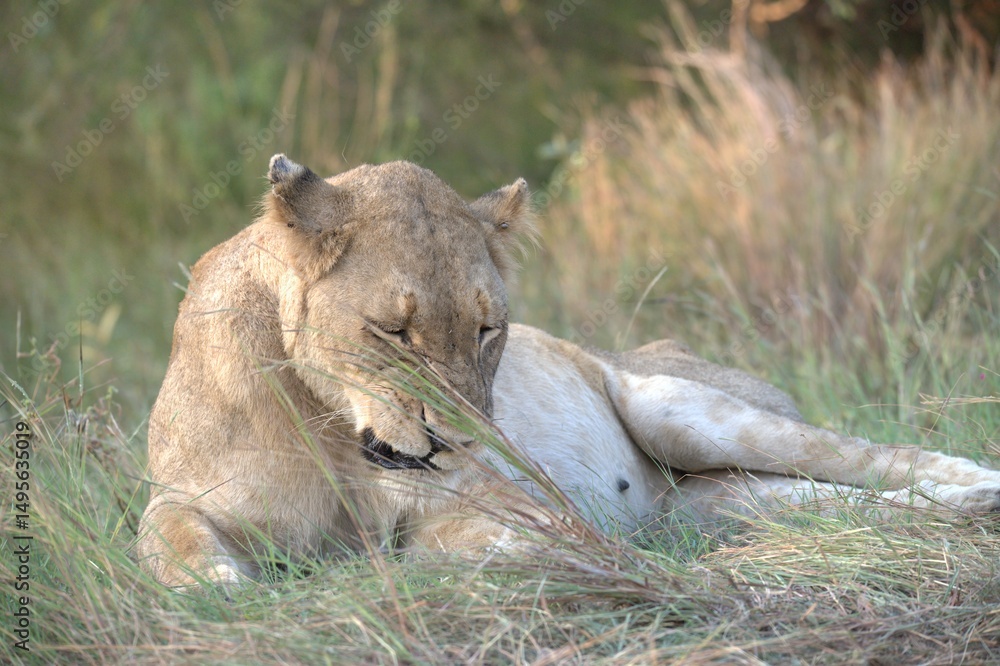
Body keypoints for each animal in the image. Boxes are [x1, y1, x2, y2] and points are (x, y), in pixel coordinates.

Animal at [136, 154, 1000, 587]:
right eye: (393, 331)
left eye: (489, 330)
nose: (461, 444)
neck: (330, 425)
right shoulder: (186, 494)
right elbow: (165, 539)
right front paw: (228, 590)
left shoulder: (517, 508)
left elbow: (449, 546)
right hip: (726, 503)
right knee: (851, 505)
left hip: (683, 408)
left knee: (882, 456)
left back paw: (977, 491)